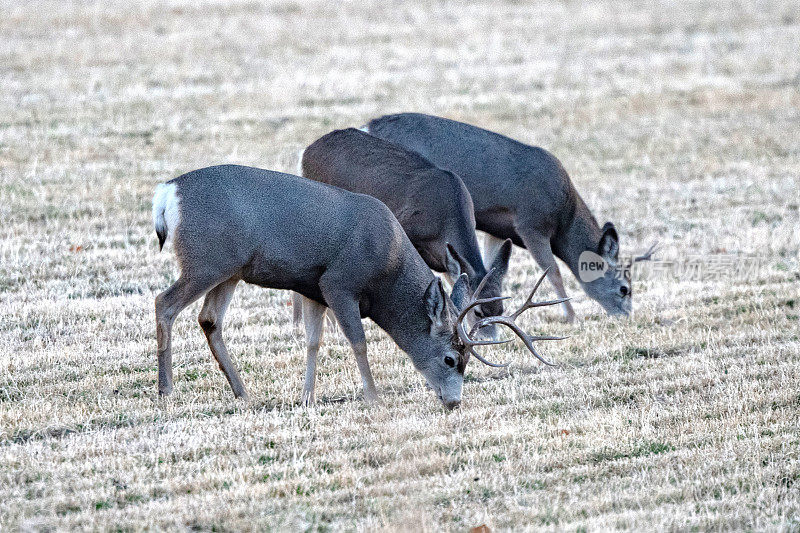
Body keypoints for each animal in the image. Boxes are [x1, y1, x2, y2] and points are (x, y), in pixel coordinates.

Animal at [150, 164, 564, 410]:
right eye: (451, 359)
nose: (453, 403)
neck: (387, 266)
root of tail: (167, 194)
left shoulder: (312, 288)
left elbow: (313, 341)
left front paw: (307, 397)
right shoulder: (338, 283)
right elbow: (359, 341)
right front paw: (374, 398)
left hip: (230, 270)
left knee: (209, 320)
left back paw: (243, 392)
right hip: (206, 260)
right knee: (164, 303)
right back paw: (167, 390)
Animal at [364, 111, 656, 320]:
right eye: (624, 288)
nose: (627, 317)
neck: (565, 218)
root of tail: (368, 126)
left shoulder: (495, 229)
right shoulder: (530, 222)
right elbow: (552, 271)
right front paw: (572, 317)